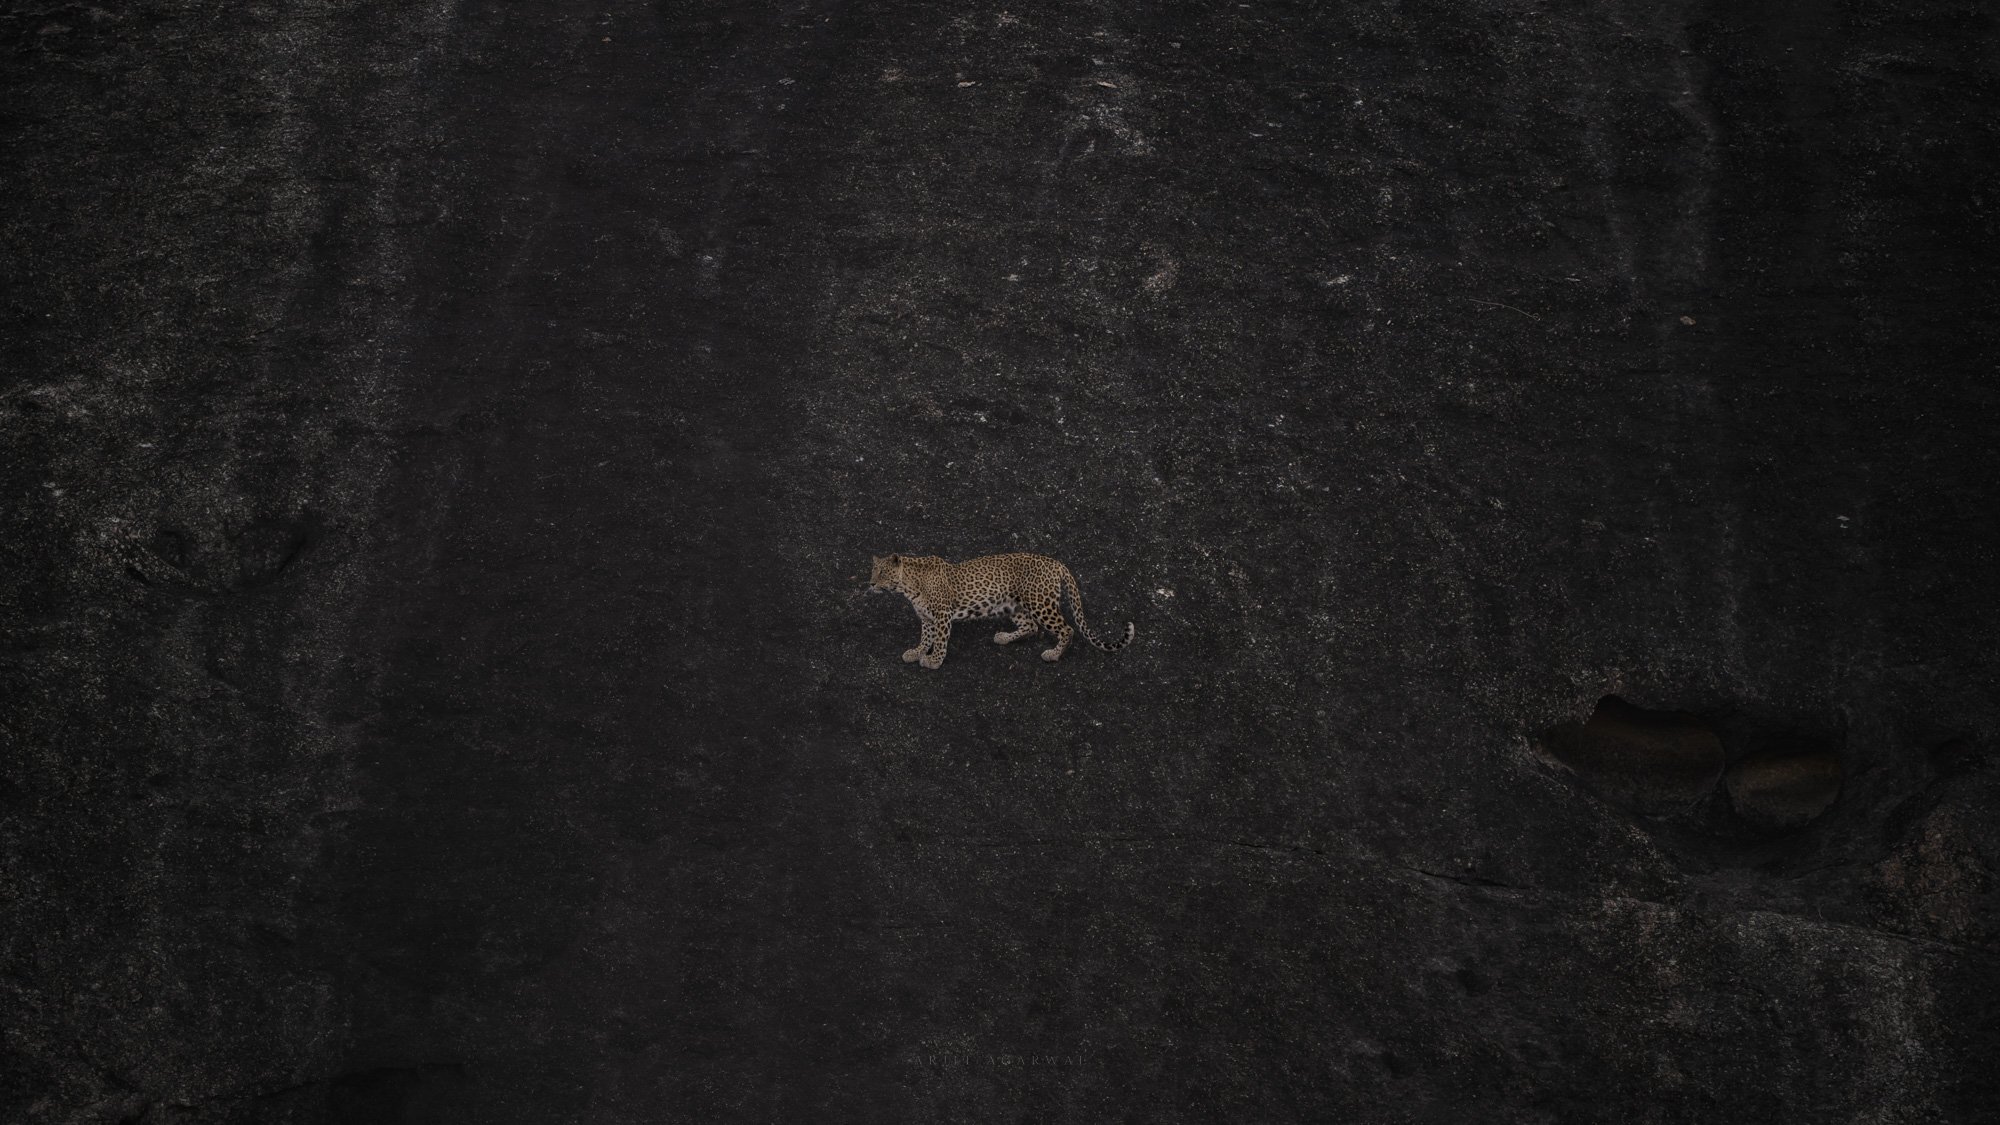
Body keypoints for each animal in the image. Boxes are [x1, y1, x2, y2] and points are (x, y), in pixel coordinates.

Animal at [867, 552, 1136, 669]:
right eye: (873, 571)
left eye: (882, 573)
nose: (870, 584)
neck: (908, 585)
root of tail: (1057, 563)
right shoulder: (927, 618)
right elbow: (925, 638)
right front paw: (917, 652)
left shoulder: (942, 615)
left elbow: (940, 640)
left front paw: (934, 660)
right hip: (1013, 604)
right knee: (1030, 626)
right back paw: (1004, 637)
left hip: (1041, 603)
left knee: (1067, 628)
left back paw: (1053, 654)